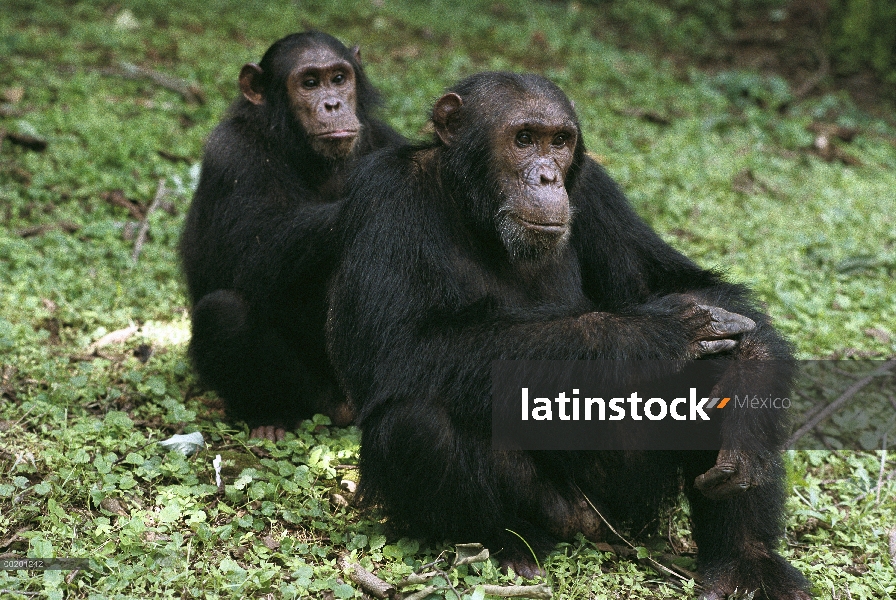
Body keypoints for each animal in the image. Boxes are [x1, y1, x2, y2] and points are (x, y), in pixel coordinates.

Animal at [180, 30, 404, 440]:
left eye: (338, 78)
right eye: (309, 83)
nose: (332, 103)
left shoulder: (386, 141)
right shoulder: (231, 153)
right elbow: (249, 254)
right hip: (317, 397)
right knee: (225, 312)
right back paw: (270, 417)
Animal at [328, 72, 812, 596]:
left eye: (559, 141)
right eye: (523, 139)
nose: (546, 177)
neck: (474, 208)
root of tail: (596, 528)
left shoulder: (597, 191)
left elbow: (683, 285)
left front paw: (750, 388)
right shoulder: (386, 196)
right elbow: (397, 344)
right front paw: (658, 330)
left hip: (630, 497)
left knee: (708, 371)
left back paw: (746, 561)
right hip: (562, 508)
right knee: (417, 419)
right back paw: (507, 544)